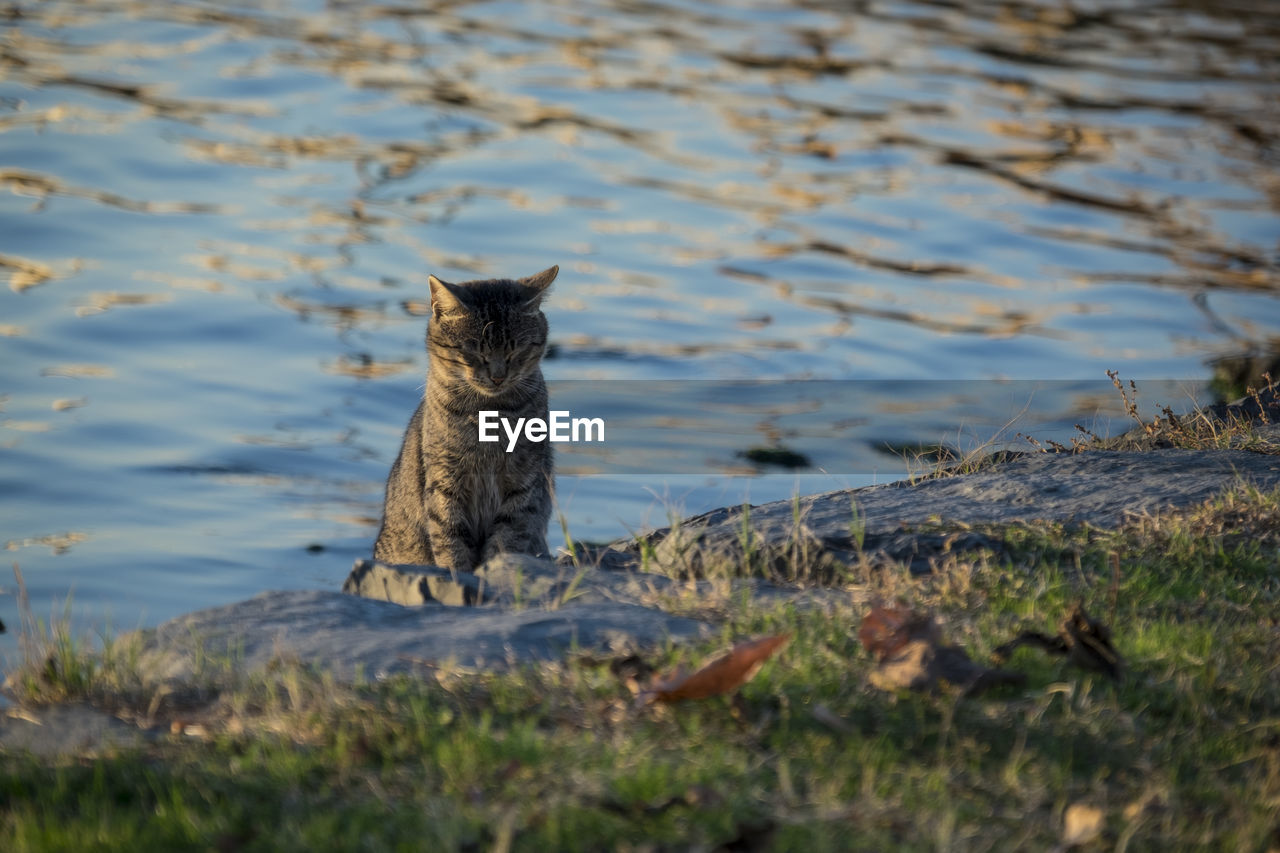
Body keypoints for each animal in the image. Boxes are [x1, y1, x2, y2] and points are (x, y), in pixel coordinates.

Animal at [373, 263, 560, 571]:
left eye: (517, 351)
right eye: (473, 351)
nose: (498, 377)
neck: (489, 414)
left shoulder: (523, 484)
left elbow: (506, 540)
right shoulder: (445, 483)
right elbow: (451, 542)